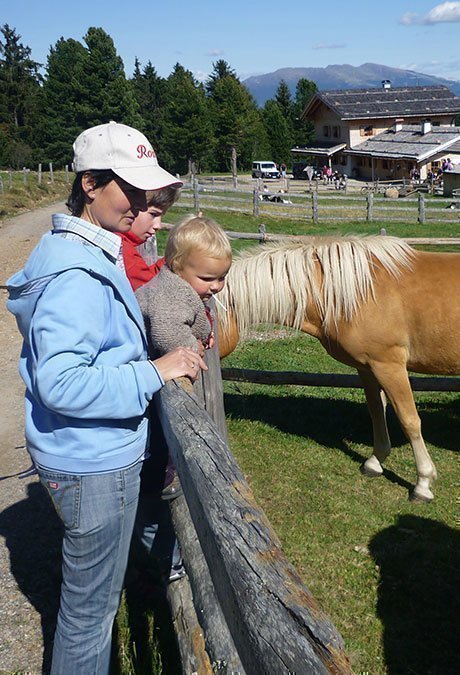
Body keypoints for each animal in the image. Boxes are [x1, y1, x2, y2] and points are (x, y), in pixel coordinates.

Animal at [217, 232, 460, 502]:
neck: (358, 292)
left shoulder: (389, 365)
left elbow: (409, 420)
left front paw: (423, 483)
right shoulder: (367, 368)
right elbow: (377, 411)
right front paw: (375, 461)